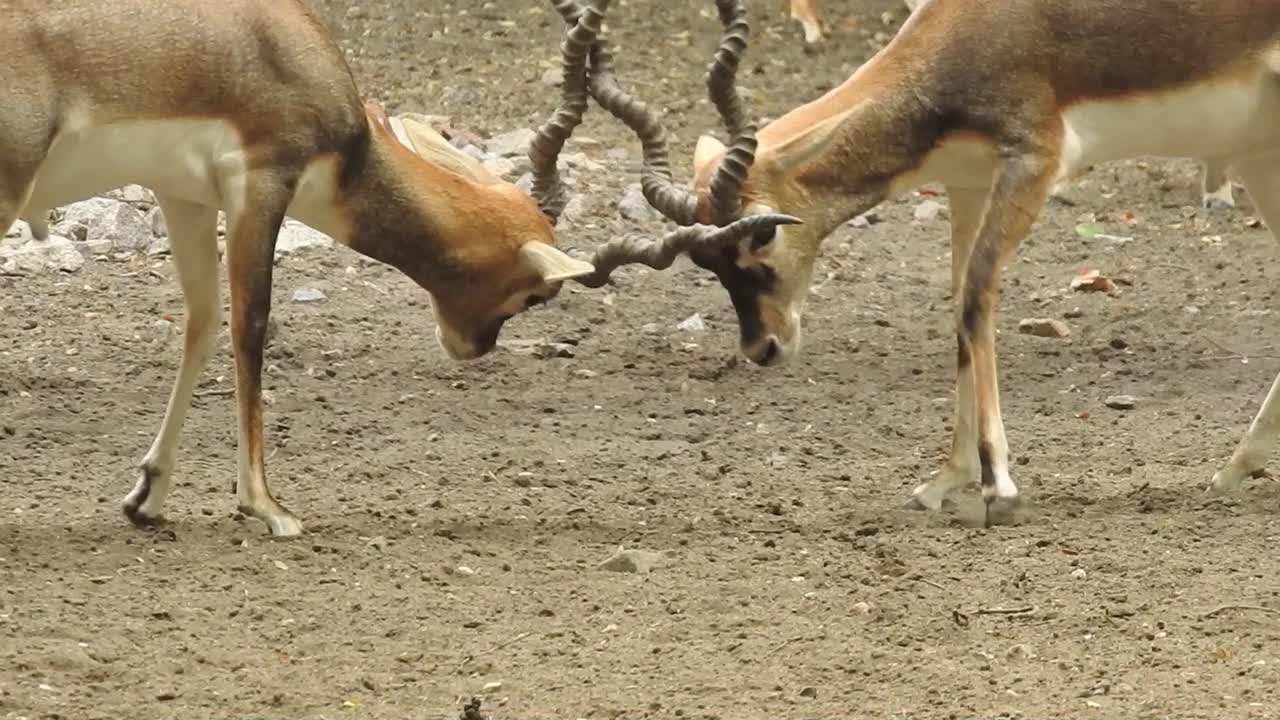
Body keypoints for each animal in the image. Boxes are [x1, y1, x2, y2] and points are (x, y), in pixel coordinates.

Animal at [2, 0, 798, 532]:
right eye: (536, 297)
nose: (472, 346)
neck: (281, 44)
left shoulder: (186, 194)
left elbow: (200, 326)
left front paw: (148, 496)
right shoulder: (264, 180)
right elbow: (251, 329)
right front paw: (268, 507)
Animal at [565, 0, 1280, 517]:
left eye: (761, 236)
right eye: (707, 263)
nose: (761, 347)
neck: (978, 28)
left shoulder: (1034, 160)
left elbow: (976, 302)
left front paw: (999, 486)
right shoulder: (968, 182)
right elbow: (959, 313)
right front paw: (947, 480)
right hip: (1258, 155)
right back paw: (1237, 466)